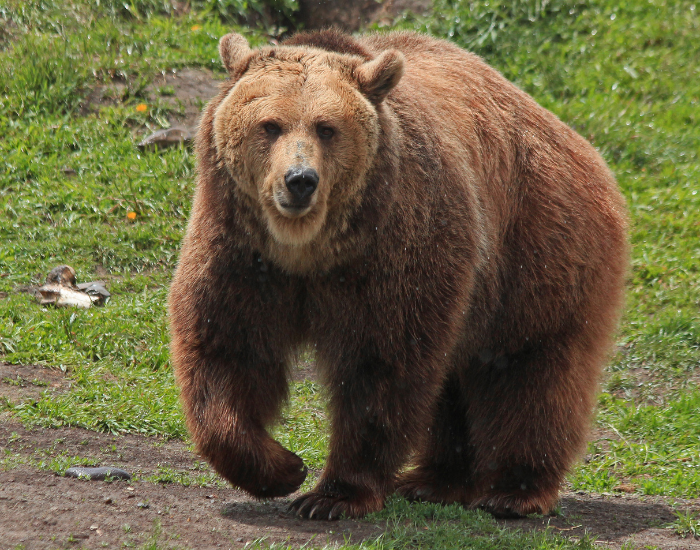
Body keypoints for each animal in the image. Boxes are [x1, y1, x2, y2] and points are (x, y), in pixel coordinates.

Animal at [168, 29, 628, 520]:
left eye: (326, 128)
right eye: (270, 125)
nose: (300, 180)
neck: (307, 249)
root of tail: (572, 137)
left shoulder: (394, 247)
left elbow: (382, 362)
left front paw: (332, 494)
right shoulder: (241, 250)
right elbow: (227, 348)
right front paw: (282, 468)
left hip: (537, 246)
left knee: (530, 369)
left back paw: (514, 490)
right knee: (456, 380)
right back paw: (435, 480)